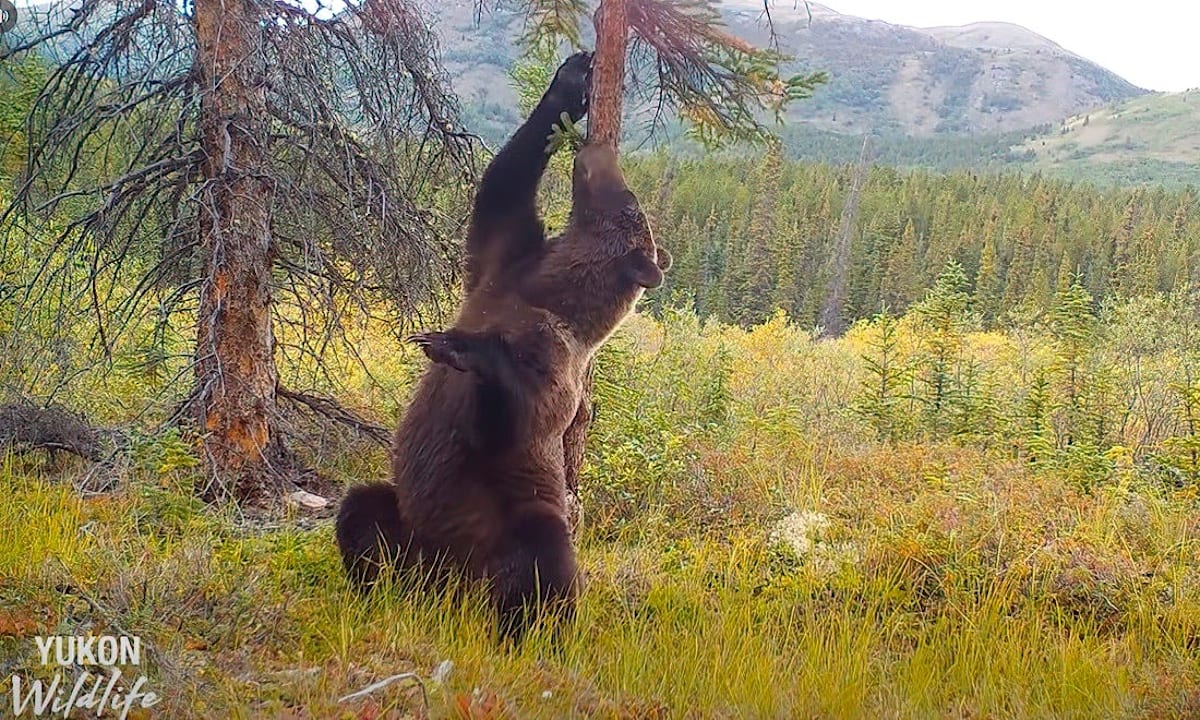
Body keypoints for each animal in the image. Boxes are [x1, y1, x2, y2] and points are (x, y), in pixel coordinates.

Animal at [335, 51, 670, 640]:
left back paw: (532, 628)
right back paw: (376, 586)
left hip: (512, 517)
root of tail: (450, 585)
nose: (599, 150)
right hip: (411, 524)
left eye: (628, 198)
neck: (546, 291)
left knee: (543, 555)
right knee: (363, 511)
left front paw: (457, 347)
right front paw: (570, 83)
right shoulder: (500, 267)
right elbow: (501, 187)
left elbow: (516, 417)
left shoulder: (555, 361)